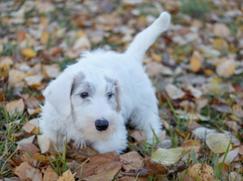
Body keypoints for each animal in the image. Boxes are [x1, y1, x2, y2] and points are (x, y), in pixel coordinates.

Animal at [39, 11, 171, 153]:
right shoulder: (51, 124)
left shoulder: (114, 137)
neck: (75, 121)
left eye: (110, 95)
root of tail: (129, 57)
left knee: (151, 123)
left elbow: (104, 147)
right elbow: (51, 138)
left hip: (145, 105)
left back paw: (152, 142)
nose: (102, 125)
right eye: (84, 94)